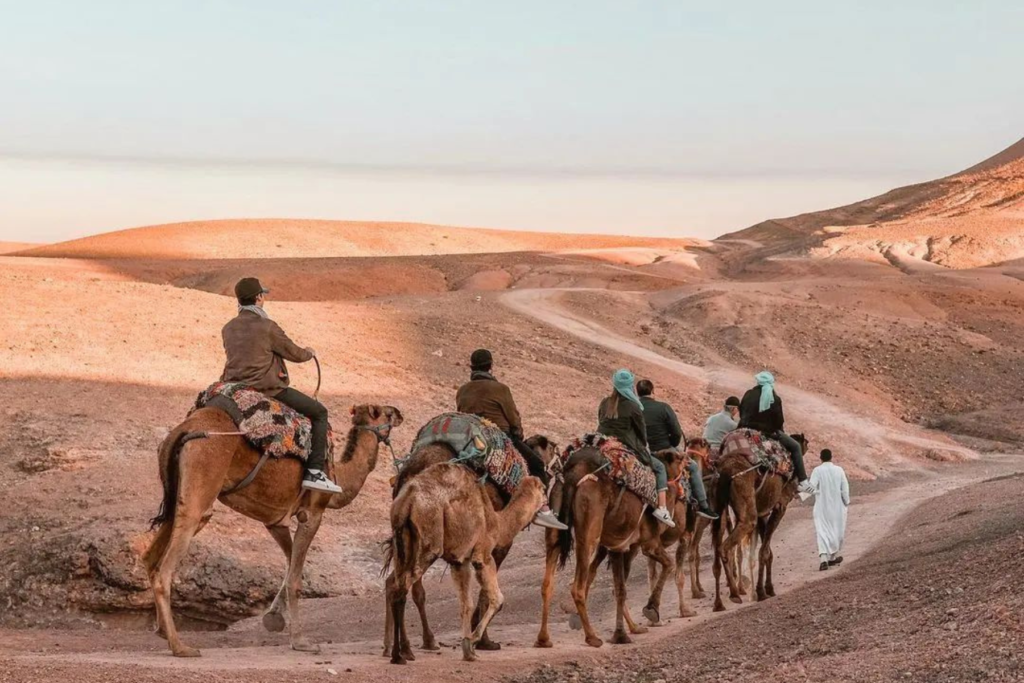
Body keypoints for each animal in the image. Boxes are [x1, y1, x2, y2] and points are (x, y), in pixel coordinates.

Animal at [142, 401, 401, 655]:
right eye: (387, 413)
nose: (400, 413)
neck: (340, 477)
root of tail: (184, 428)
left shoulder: (275, 521)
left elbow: (291, 563)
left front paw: (274, 617)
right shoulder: (313, 513)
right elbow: (295, 578)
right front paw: (301, 642)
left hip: (178, 491)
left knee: (150, 556)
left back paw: (163, 631)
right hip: (203, 475)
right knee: (166, 566)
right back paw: (180, 647)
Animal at [382, 436, 557, 659]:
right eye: (543, 489)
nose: (547, 505)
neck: (497, 520)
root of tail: (408, 499)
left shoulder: (460, 561)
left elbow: (466, 603)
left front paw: (468, 649)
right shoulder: (484, 554)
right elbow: (496, 598)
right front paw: (477, 641)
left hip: (403, 540)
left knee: (394, 583)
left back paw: (394, 648)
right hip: (430, 543)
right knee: (403, 586)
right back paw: (403, 653)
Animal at [536, 446, 679, 651]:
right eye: (682, 461)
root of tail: (572, 475)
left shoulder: (616, 546)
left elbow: (618, 587)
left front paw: (630, 630)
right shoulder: (647, 543)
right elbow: (669, 564)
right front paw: (650, 610)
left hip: (555, 523)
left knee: (547, 583)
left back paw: (543, 639)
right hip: (589, 531)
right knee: (577, 586)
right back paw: (592, 637)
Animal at [712, 432, 806, 610]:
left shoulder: (763, 511)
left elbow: (767, 551)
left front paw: (766, 589)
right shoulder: (780, 506)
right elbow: (764, 551)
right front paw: (763, 591)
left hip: (719, 510)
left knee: (718, 544)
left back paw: (720, 603)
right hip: (747, 509)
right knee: (727, 546)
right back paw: (734, 594)